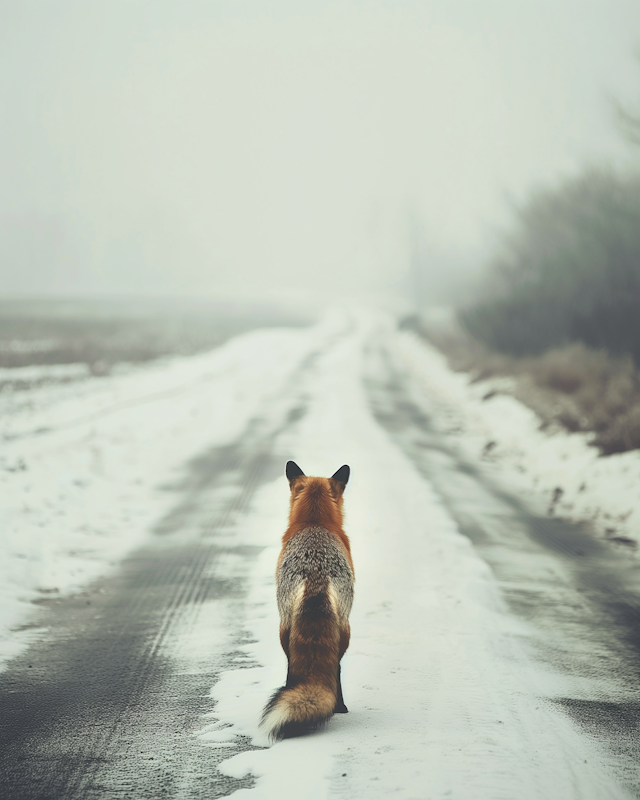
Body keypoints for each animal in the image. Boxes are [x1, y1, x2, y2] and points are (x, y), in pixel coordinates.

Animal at [262, 460, 358, 740]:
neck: (315, 522)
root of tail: (316, 573)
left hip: (285, 628)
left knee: (295, 666)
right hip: (343, 630)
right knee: (334, 667)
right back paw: (339, 706)